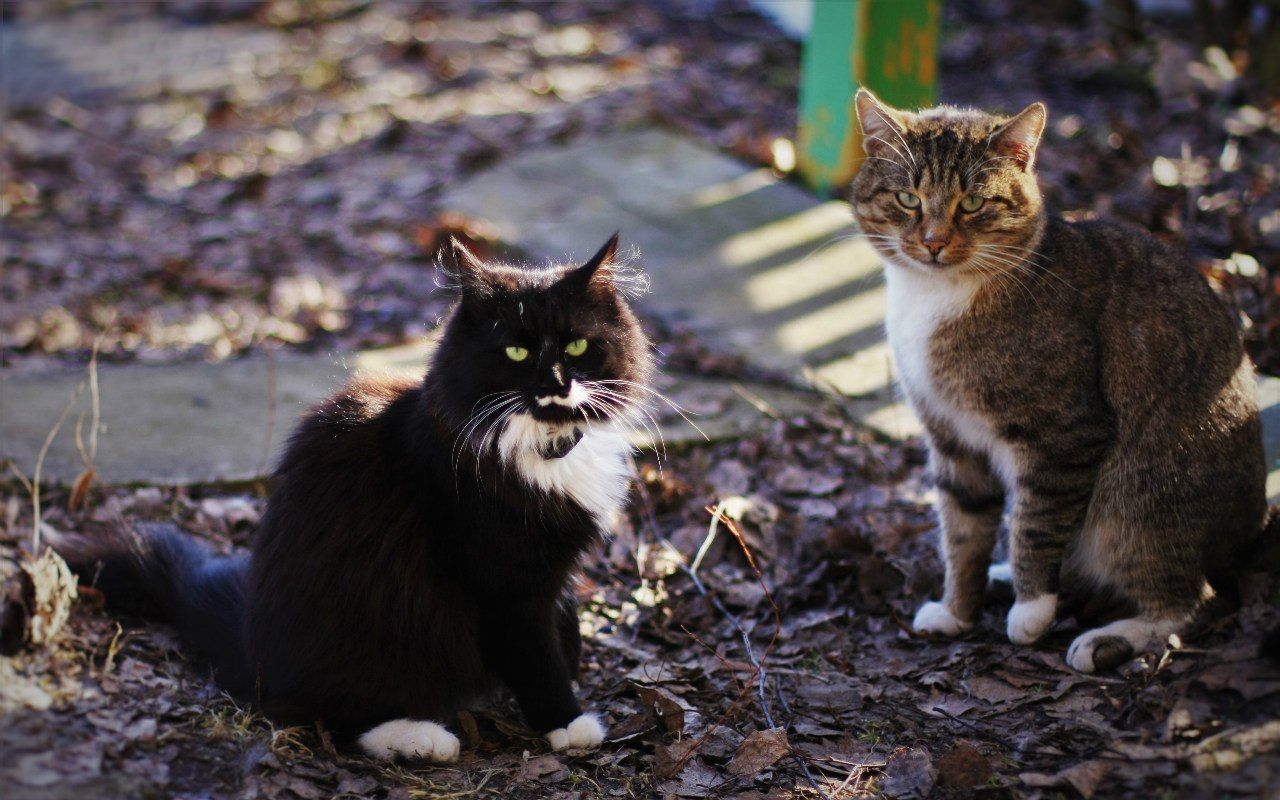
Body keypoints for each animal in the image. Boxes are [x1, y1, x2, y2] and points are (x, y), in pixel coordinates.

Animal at [55, 234, 655, 757]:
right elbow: (536, 656)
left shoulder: (554, 574)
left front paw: (574, 667)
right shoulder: (503, 581)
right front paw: (567, 723)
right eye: (515, 352)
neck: (540, 447)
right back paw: (422, 739)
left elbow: (565, 625)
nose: (556, 383)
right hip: (377, 632)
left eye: (576, 345)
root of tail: (249, 645)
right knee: (333, 716)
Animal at [849, 90, 1269, 670]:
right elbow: (963, 530)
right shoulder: (951, 437)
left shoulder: (1063, 436)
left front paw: (1031, 613)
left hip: (1139, 499)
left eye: (973, 204)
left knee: (1197, 600)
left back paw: (1106, 637)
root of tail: (1255, 532)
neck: (936, 298)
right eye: (909, 199)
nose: (933, 242)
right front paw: (958, 611)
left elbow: (1036, 524)